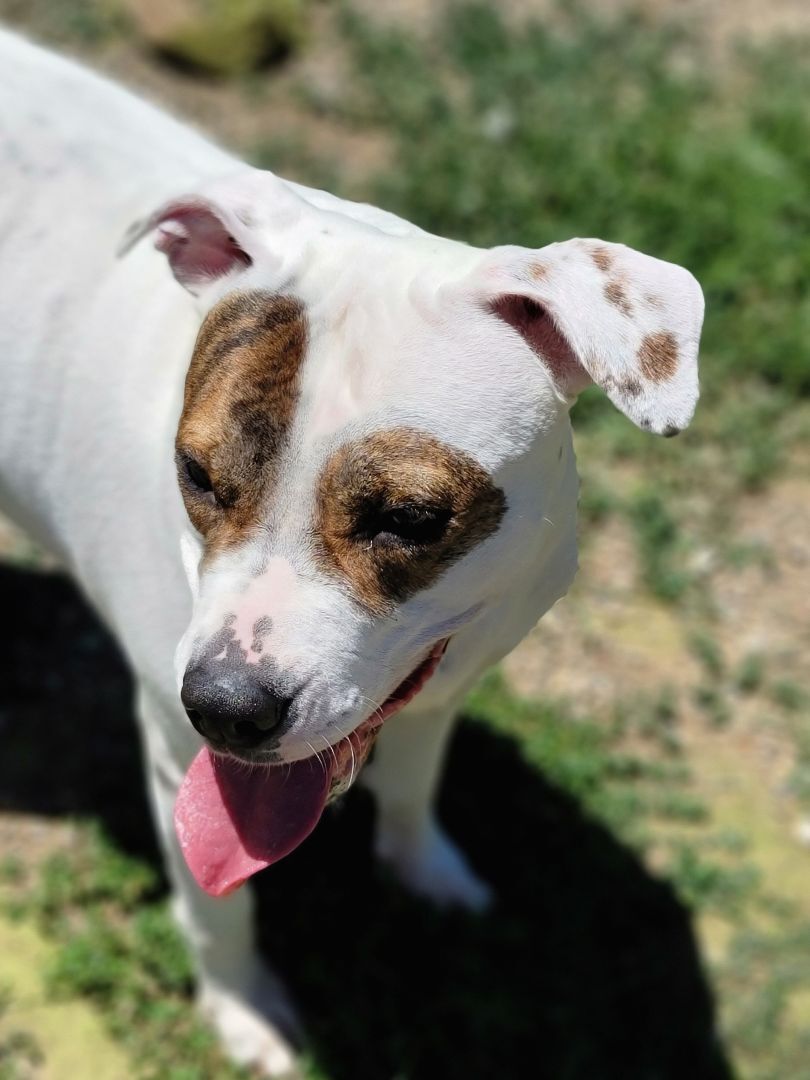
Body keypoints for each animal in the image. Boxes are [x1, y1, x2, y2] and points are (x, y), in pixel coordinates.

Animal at [0, 29, 704, 1075]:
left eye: (409, 518)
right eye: (196, 474)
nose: (226, 708)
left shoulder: (451, 675)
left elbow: (415, 782)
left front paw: (426, 870)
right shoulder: (174, 747)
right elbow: (220, 908)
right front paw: (242, 1012)